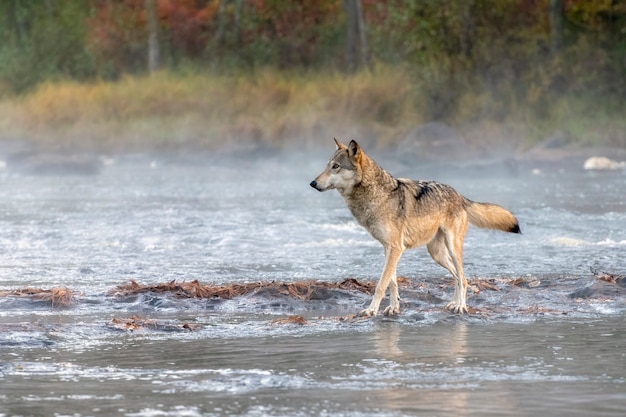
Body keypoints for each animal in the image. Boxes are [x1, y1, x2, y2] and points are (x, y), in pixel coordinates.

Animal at [310, 139, 520, 316]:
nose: (312, 183)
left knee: (463, 277)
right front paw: (393, 308)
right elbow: (392, 282)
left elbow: (380, 285)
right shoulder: (388, 248)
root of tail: (459, 195)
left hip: (452, 248)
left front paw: (371, 310)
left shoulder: (395, 248)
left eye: (336, 167)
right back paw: (453, 303)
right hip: (436, 254)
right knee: (456, 277)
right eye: (327, 165)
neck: (376, 195)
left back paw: (461, 306)